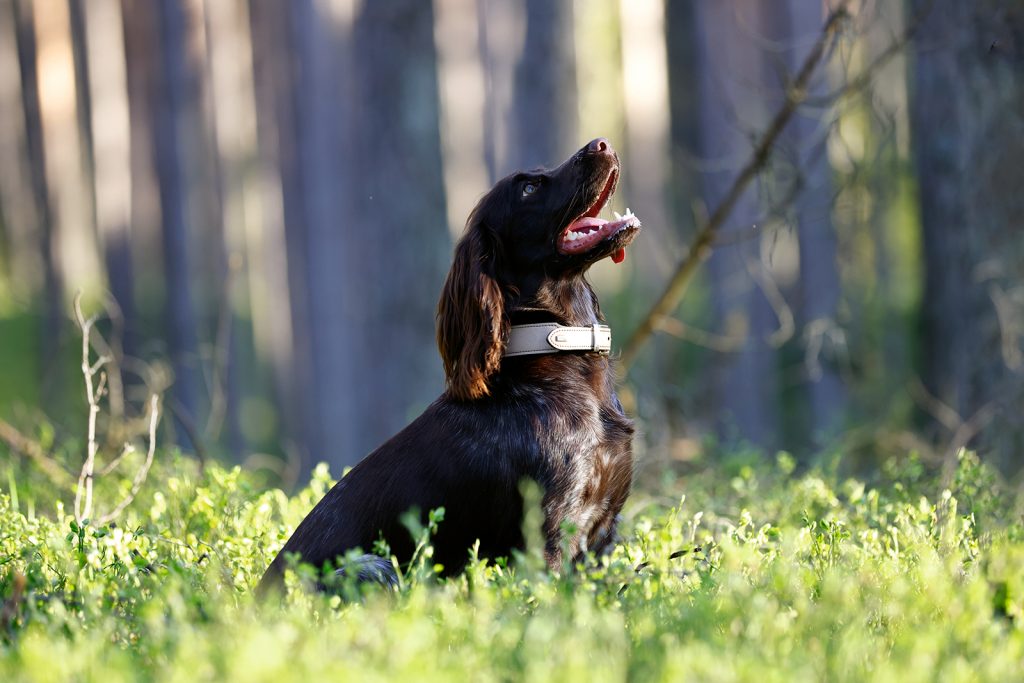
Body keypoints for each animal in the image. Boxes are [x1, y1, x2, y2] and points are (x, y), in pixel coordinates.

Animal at [256, 136, 638, 593]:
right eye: (529, 189)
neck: (560, 353)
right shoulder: (552, 536)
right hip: (375, 567)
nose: (601, 143)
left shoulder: (604, 530)